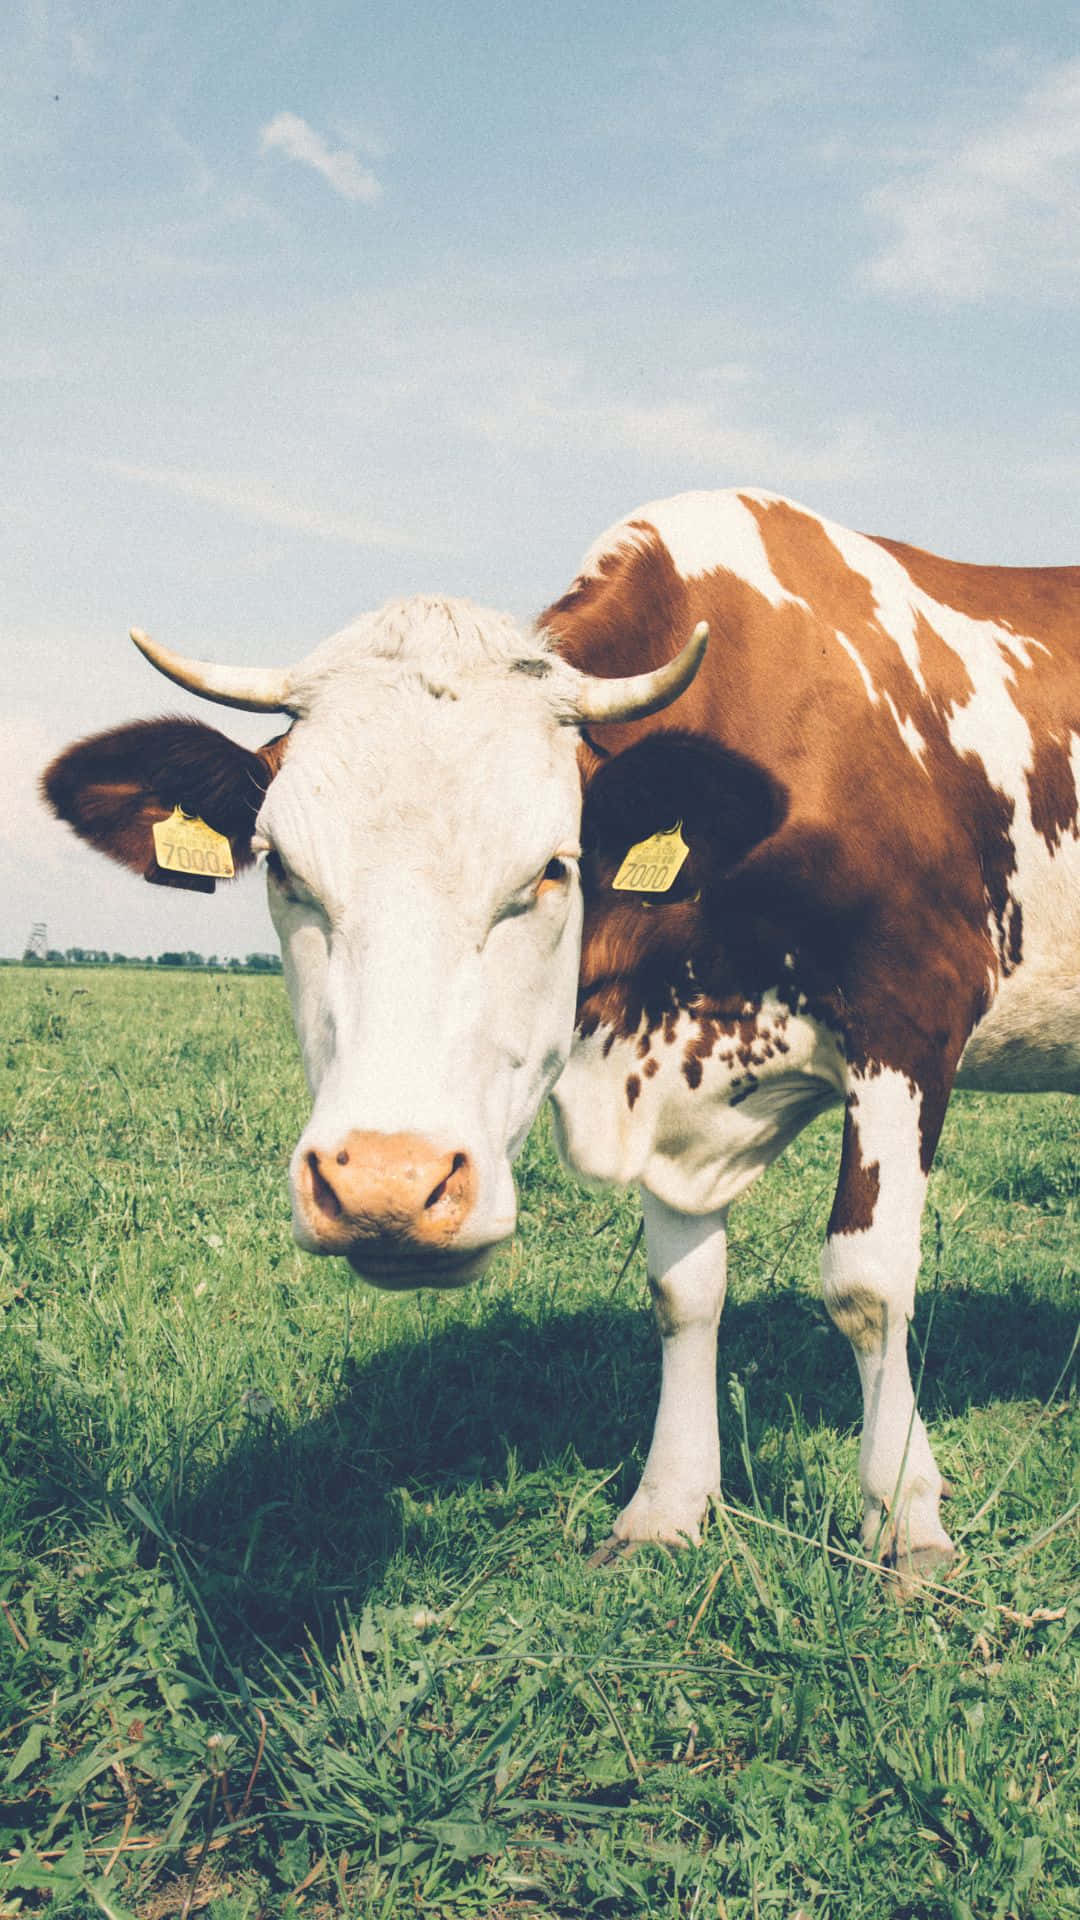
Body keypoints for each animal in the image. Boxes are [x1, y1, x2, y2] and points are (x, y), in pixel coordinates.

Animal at [44, 489, 1080, 1581]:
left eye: (551, 865)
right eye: (280, 866)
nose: (385, 1188)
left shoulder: (909, 1021)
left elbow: (867, 1282)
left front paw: (903, 1517)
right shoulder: (662, 1082)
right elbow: (684, 1290)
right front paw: (668, 1504)